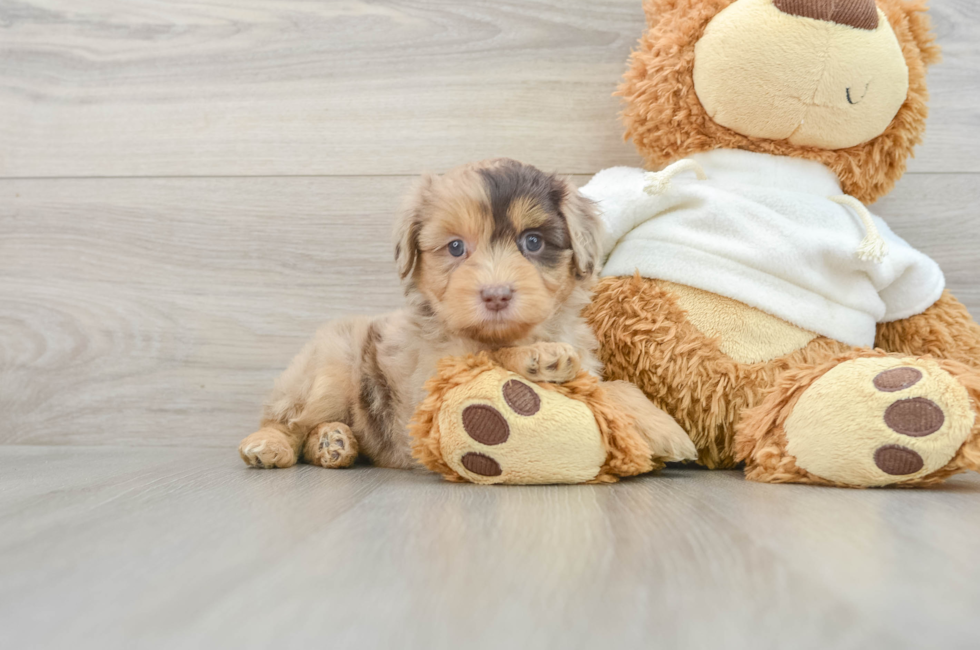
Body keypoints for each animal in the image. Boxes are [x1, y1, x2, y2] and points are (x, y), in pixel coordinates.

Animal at [239, 159, 696, 468]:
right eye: (456, 247)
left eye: (532, 242)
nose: (496, 295)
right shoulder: (430, 385)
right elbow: (488, 359)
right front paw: (539, 357)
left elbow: (614, 385)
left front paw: (664, 427)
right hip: (329, 371)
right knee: (286, 418)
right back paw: (271, 445)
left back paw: (333, 443)